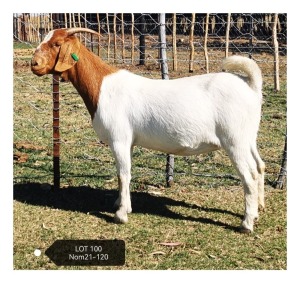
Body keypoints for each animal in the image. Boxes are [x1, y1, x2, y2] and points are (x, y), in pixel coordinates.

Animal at [30, 28, 264, 233]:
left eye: (57, 44)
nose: (34, 64)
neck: (102, 86)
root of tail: (250, 88)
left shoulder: (119, 139)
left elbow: (124, 174)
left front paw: (121, 214)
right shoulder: (129, 141)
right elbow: (122, 174)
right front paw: (121, 204)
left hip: (234, 140)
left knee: (249, 175)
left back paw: (246, 223)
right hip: (248, 138)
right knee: (259, 166)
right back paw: (257, 211)